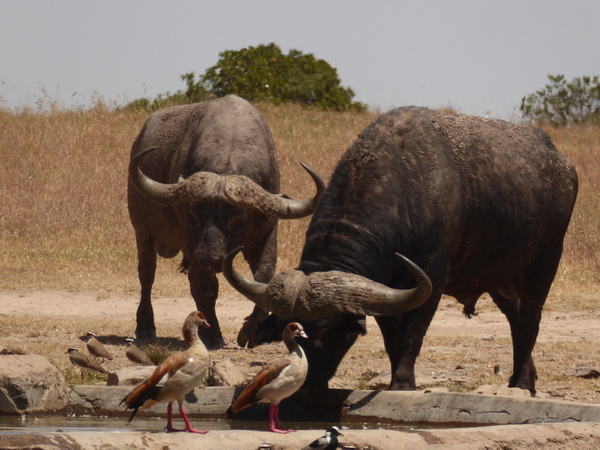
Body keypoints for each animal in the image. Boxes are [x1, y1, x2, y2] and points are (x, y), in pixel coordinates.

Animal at [127, 95, 324, 348]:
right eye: (195, 213)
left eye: (236, 217)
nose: (208, 258)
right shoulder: (192, 244)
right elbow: (204, 287)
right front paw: (213, 335)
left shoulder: (267, 234)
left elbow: (264, 277)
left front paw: (249, 331)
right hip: (142, 230)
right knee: (147, 275)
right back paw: (145, 327)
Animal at [224, 106, 576, 394]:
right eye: (290, 332)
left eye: (327, 335)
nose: (307, 383)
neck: (404, 189)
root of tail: (563, 165)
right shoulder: (387, 288)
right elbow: (392, 338)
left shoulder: (430, 280)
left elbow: (410, 334)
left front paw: (403, 384)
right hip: (499, 278)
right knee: (515, 319)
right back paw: (525, 380)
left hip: (545, 260)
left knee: (529, 319)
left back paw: (520, 383)